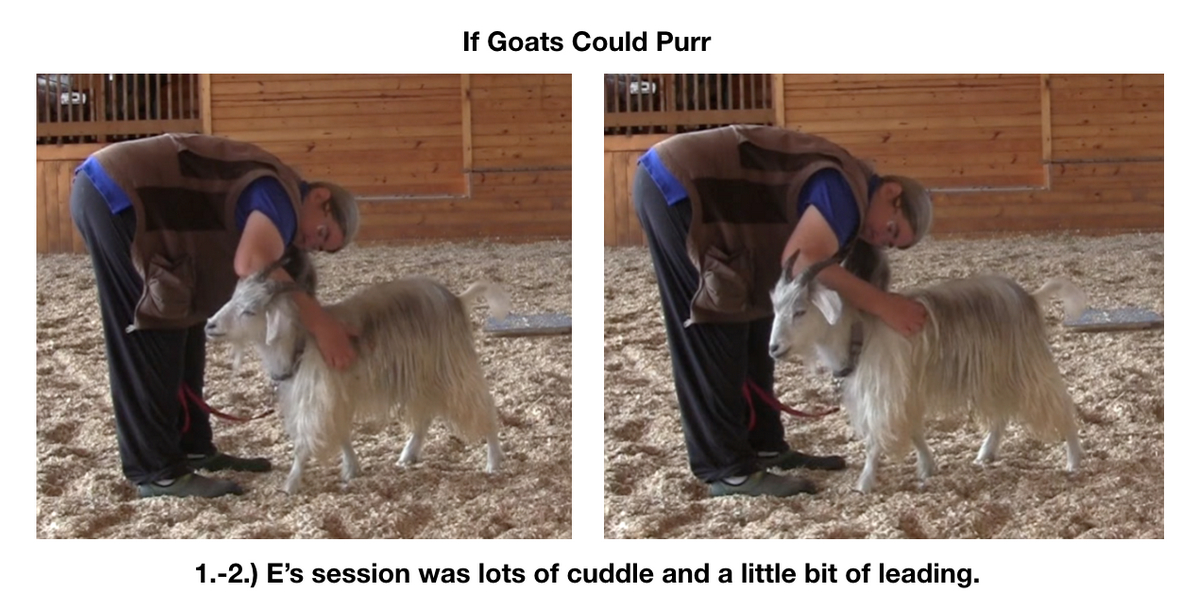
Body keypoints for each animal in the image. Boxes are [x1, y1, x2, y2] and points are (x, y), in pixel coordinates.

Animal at [205, 256, 510, 494]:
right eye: (232, 299)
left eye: (250, 311)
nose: (210, 325)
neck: (301, 343)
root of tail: (457, 300)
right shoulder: (332, 397)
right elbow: (341, 432)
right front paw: (352, 469)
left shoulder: (317, 400)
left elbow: (304, 444)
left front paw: (290, 484)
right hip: (422, 374)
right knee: (425, 415)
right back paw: (408, 455)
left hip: (453, 367)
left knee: (483, 407)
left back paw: (493, 461)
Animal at [768, 255, 1086, 493]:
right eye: (775, 310)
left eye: (800, 311)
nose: (773, 348)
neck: (858, 333)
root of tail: (1029, 297)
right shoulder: (903, 391)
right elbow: (914, 430)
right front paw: (928, 466)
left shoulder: (884, 394)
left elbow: (874, 441)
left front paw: (864, 482)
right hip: (995, 372)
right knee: (1002, 414)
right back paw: (986, 453)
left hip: (1027, 364)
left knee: (1061, 404)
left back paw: (1074, 461)